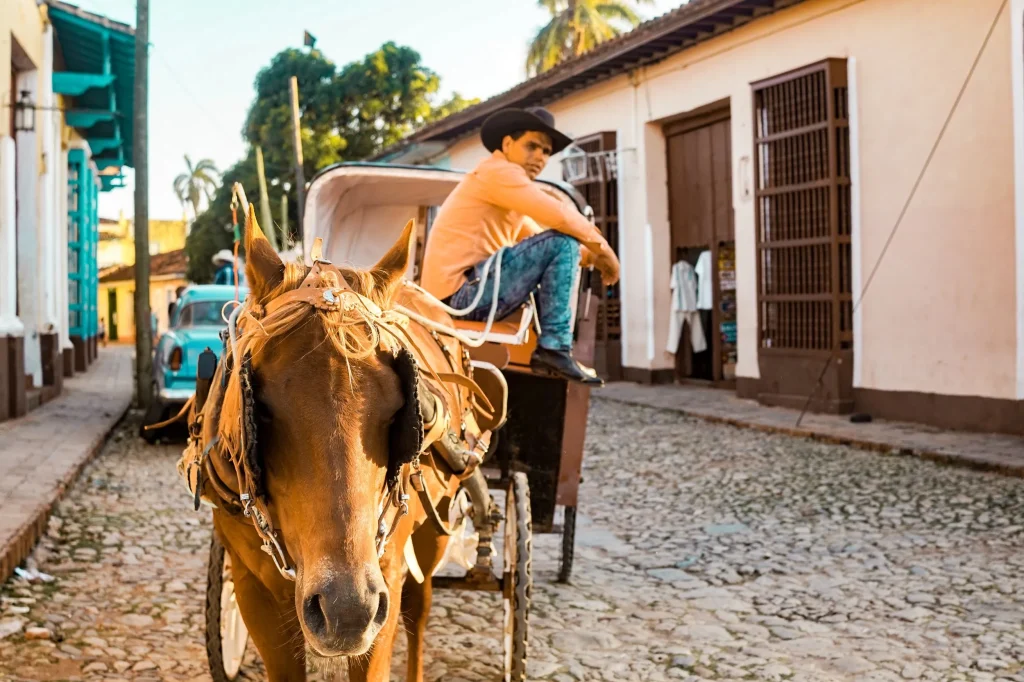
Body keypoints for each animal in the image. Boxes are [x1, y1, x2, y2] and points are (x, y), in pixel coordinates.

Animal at [187, 208, 491, 679]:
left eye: (398, 411)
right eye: (263, 410)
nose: (347, 610)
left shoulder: (385, 582)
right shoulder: (252, 585)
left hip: (436, 521)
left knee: (420, 606)